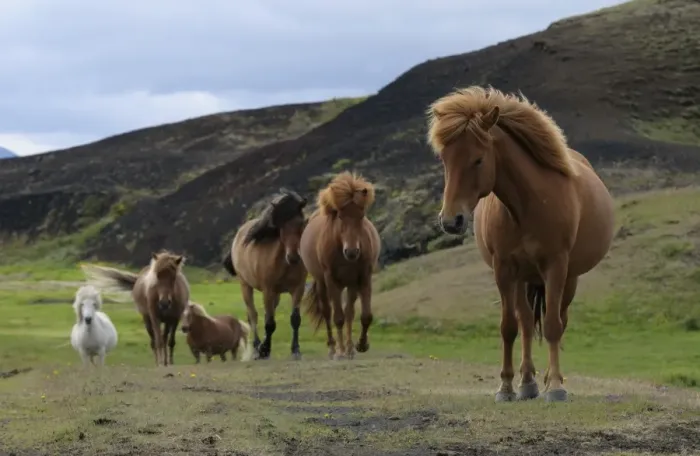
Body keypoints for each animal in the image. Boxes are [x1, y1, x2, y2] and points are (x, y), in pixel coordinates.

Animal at [222, 187, 308, 360]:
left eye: (301, 223)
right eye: (281, 226)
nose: (293, 257)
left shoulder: (298, 289)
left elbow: (295, 319)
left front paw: (296, 350)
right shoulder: (268, 290)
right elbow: (269, 323)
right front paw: (264, 350)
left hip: (277, 295)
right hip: (246, 286)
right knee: (253, 316)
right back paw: (256, 347)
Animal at [300, 171, 381, 360]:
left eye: (361, 216)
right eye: (340, 216)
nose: (351, 252)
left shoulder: (364, 277)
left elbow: (365, 316)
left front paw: (361, 345)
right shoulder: (331, 279)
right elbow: (338, 317)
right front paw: (340, 352)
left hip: (351, 285)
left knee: (349, 312)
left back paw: (350, 348)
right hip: (322, 284)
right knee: (328, 312)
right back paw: (335, 349)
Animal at [426, 85, 615, 402]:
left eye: (478, 159)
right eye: (444, 159)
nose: (452, 221)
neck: (528, 205)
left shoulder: (555, 266)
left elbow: (552, 326)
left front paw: (556, 387)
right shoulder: (504, 269)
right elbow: (509, 327)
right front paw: (506, 386)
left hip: (568, 279)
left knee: (560, 320)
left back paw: (550, 379)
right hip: (523, 278)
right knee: (525, 322)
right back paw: (528, 382)